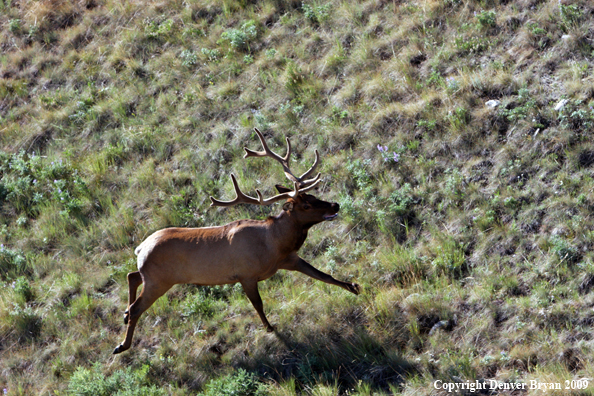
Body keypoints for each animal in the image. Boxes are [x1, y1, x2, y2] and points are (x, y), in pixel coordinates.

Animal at [112, 128, 358, 354]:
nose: (335, 205)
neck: (275, 243)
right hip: (158, 280)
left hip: (155, 276)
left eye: (314, 195)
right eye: (306, 205)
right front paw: (270, 329)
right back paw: (122, 344)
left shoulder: (290, 259)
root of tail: (140, 248)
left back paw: (123, 315)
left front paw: (353, 287)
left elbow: (323, 275)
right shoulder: (246, 275)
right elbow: (258, 304)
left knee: (132, 276)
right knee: (137, 306)